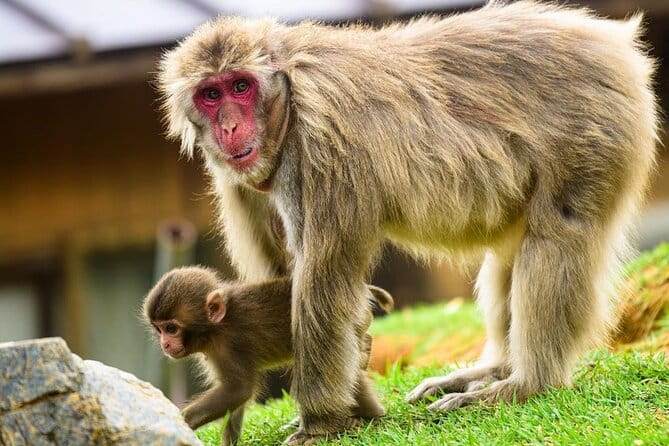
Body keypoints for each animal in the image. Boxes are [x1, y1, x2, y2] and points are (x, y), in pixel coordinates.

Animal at [143, 266, 393, 445]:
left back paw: (368, 418)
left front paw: (178, 421)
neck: (215, 327)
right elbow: (236, 400)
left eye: (172, 328)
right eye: (159, 329)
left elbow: (238, 389)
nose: (165, 343)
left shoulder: (229, 347)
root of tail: (363, 290)